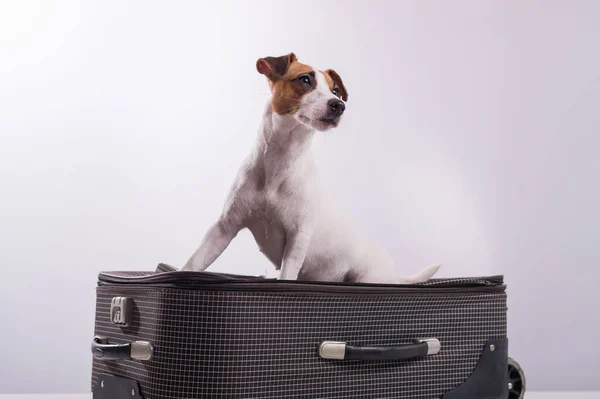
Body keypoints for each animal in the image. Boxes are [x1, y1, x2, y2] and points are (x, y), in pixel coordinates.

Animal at [180, 52, 438, 284]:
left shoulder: (298, 237)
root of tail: (395, 276)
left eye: (335, 91)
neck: (281, 161)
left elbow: (286, 276)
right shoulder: (225, 227)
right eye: (304, 79)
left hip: (368, 277)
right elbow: (194, 262)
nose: (339, 105)